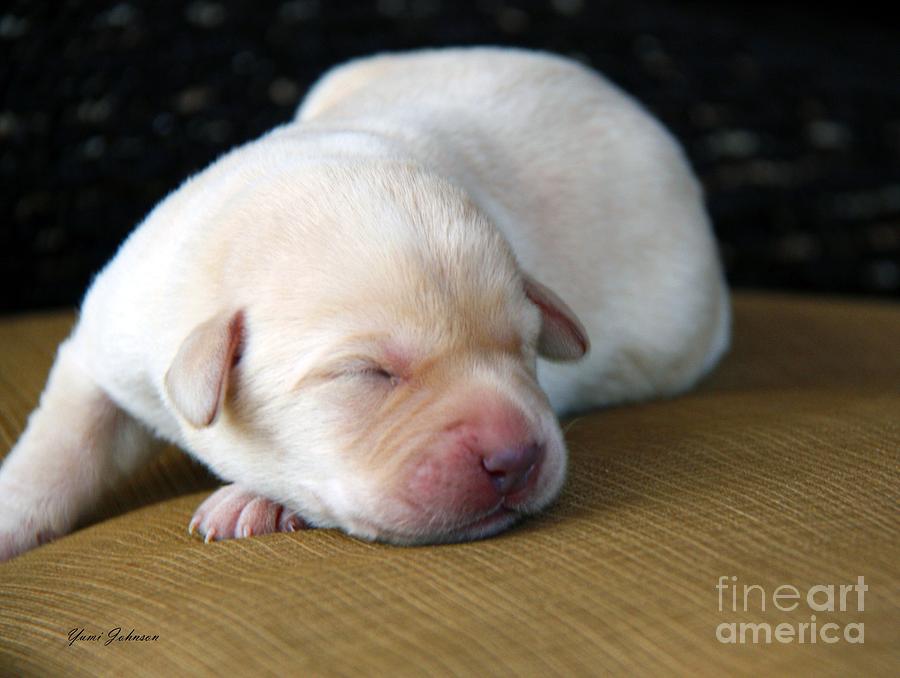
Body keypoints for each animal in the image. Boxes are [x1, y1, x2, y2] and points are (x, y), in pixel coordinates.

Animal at [0, 49, 732, 564]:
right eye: (367, 374)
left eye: (527, 352)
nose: (518, 458)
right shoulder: (108, 340)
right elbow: (62, 441)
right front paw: (12, 513)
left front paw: (255, 499)